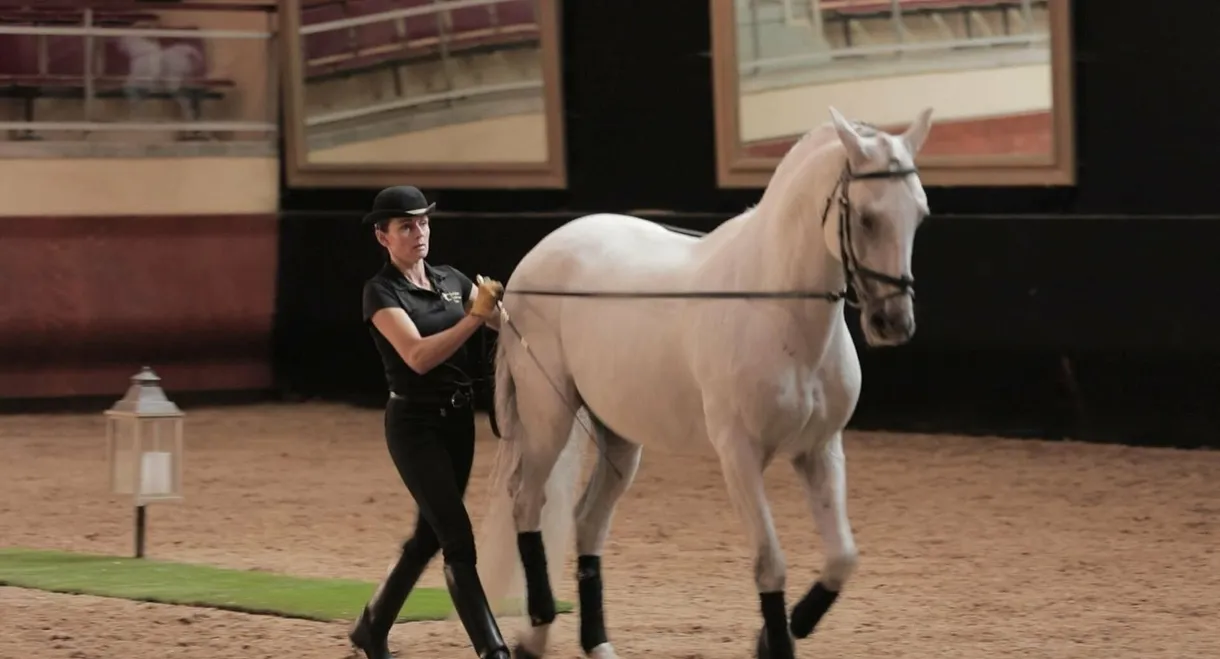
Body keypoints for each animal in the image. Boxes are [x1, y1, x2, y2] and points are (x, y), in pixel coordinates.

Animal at [473, 105, 932, 654]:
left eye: (920, 215)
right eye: (866, 217)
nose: (893, 323)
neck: (778, 309)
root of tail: (531, 264)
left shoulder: (819, 449)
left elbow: (842, 556)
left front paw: (778, 634)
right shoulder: (739, 454)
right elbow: (769, 565)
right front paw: (774, 642)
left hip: (619, 437)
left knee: (587, 522)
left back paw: (596, 643)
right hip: (548, 417)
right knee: (527, 503)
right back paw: (536, 630)